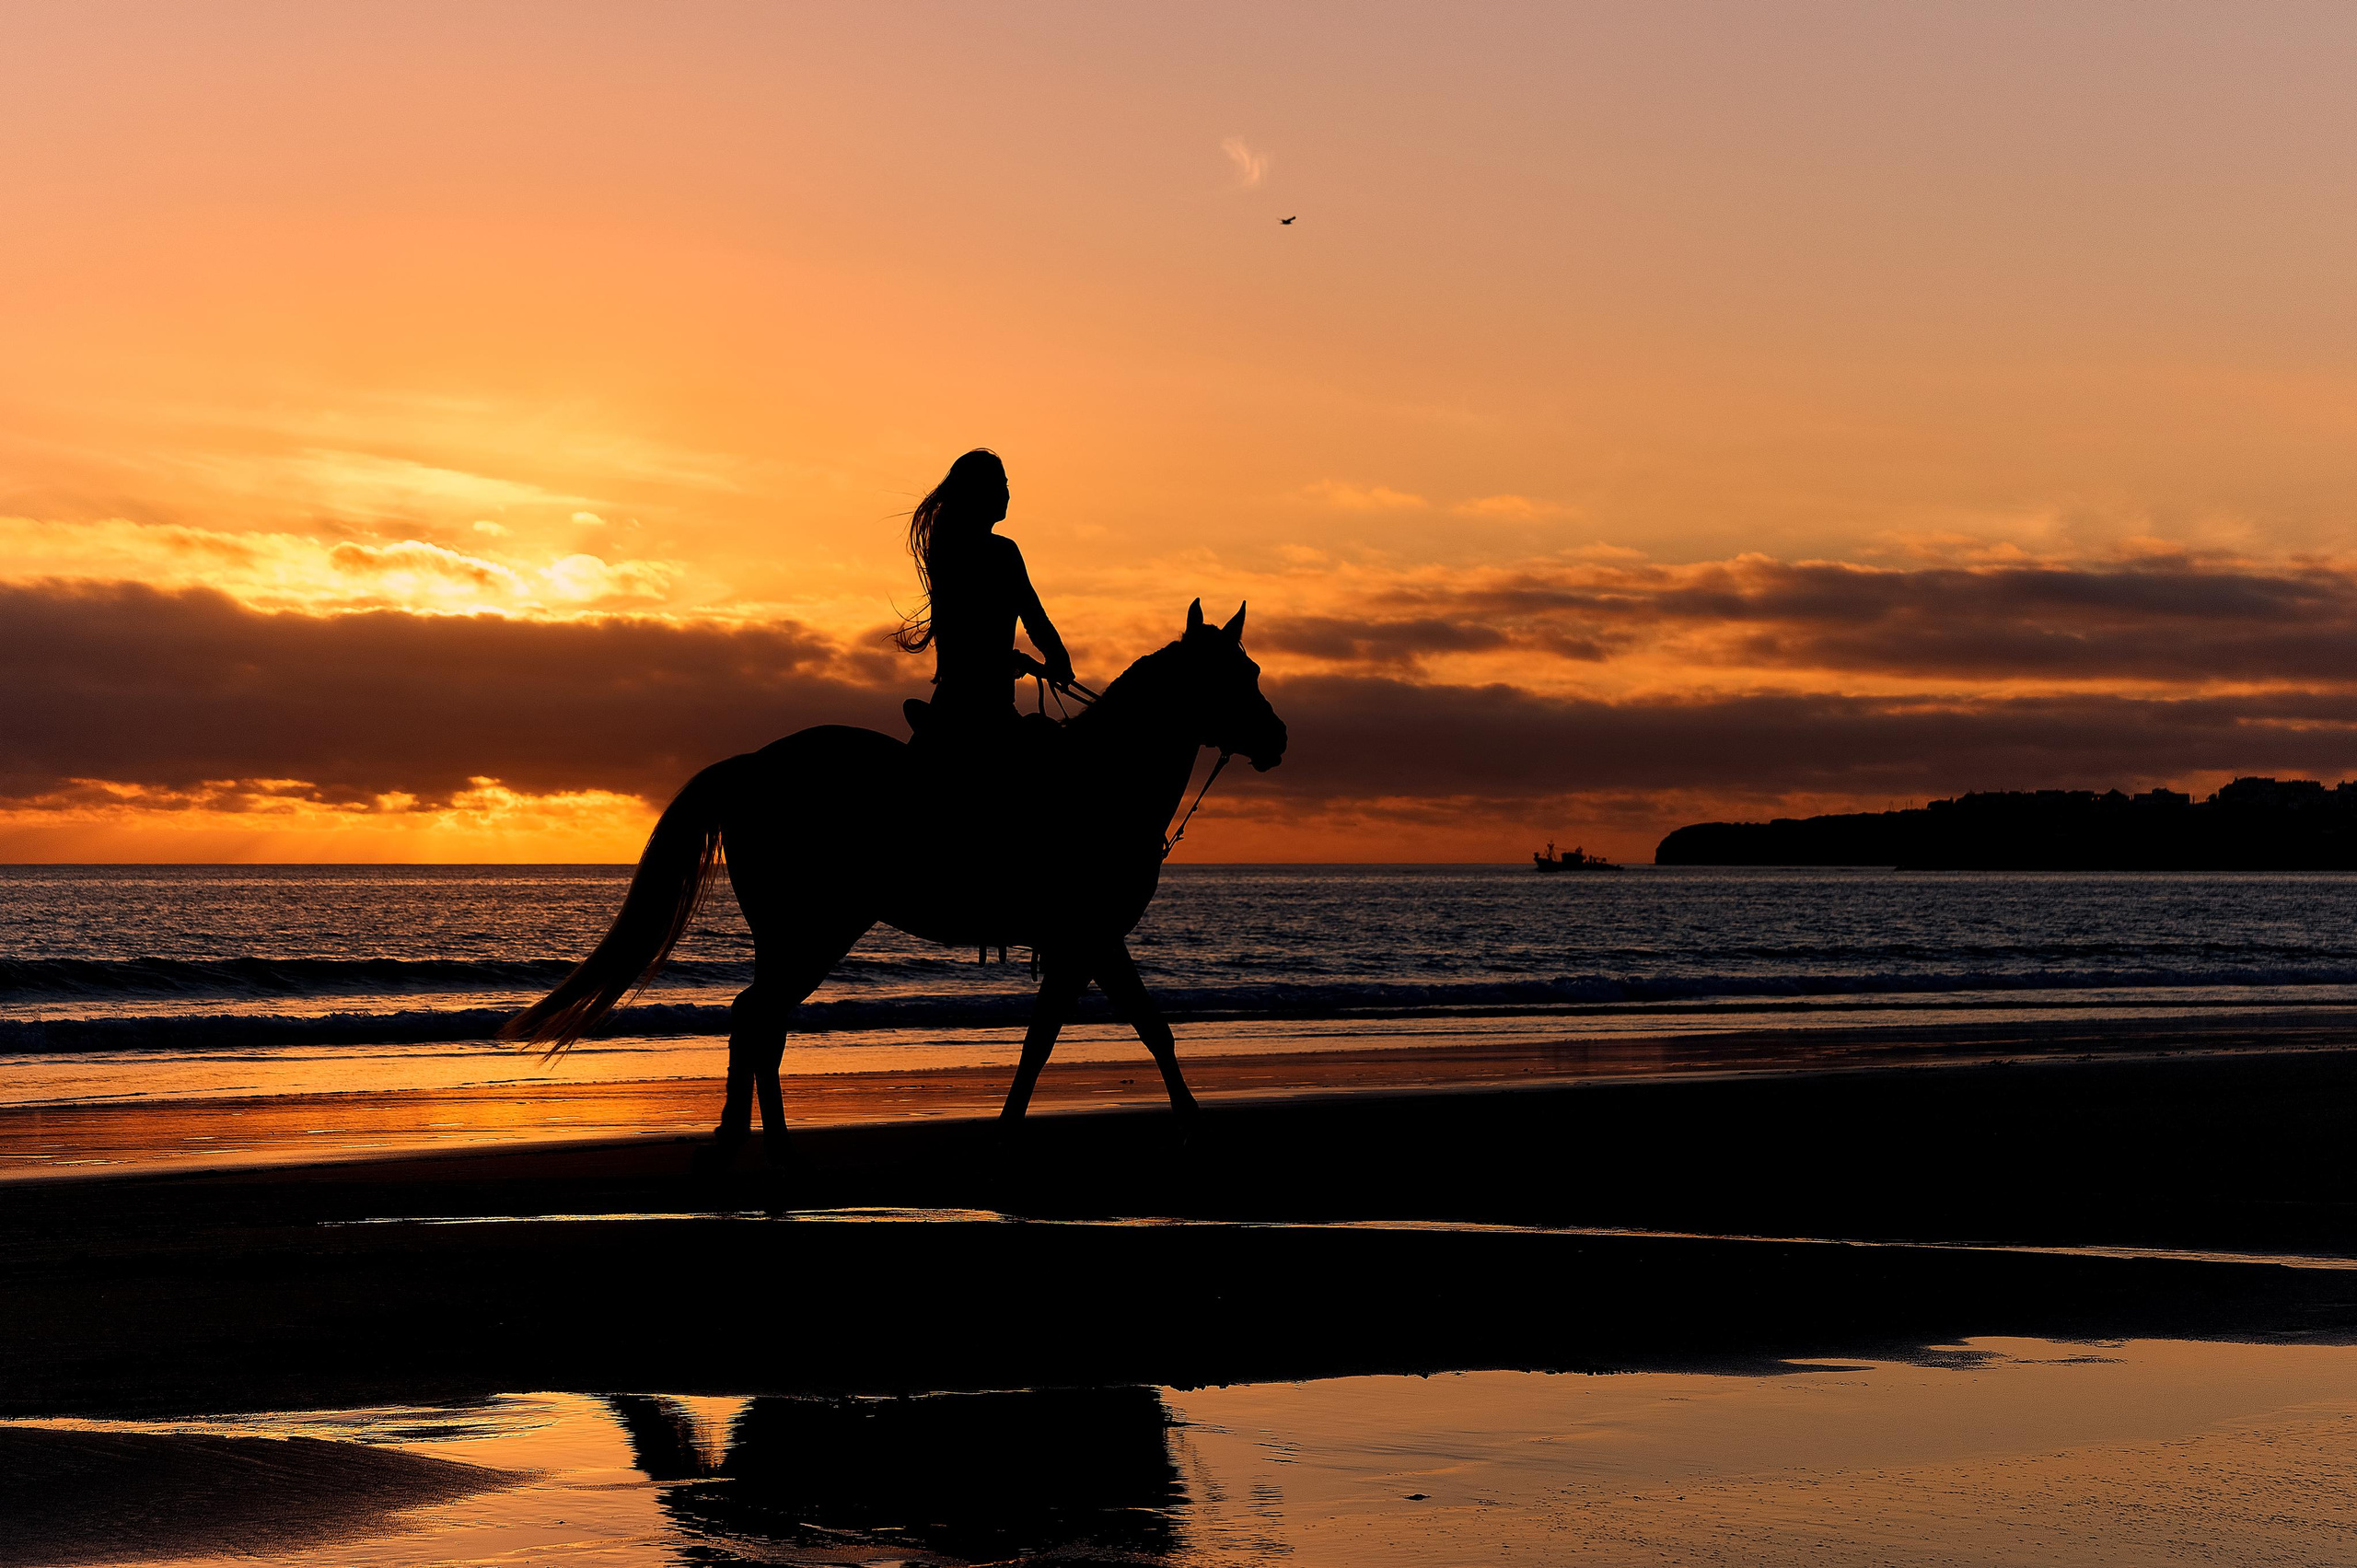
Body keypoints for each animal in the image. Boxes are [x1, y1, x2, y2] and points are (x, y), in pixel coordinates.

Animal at [499, 599, 1288, 1172]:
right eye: (1235, 675)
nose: (1278, 740)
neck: (1102, 781)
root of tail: (752, 764)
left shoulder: (1080, 944)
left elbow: (1065, 1036)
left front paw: (1013, 1132)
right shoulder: (1090, 936)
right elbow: (1130, 1031)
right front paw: (1189, 1131)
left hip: (790, 934)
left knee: (759, 1020)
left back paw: (752, 1141)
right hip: (815, 929)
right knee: (758, 1017)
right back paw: (772, 1148)